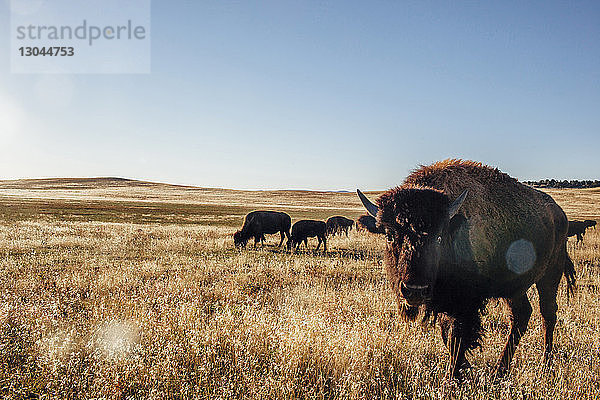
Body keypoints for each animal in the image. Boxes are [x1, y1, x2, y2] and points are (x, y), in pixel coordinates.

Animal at [358, 159, 576, 378]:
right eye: (389, 235)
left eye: (438, 237)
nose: (414, 290)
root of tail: (559, 213)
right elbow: (448, 335)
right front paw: (463, 369)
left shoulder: (465, 303)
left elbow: (457, 336)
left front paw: (454, 375)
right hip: (514, 288)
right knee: (521, 315)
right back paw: (500, 370)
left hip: (550, 275)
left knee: (547, 313)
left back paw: (545, 364)